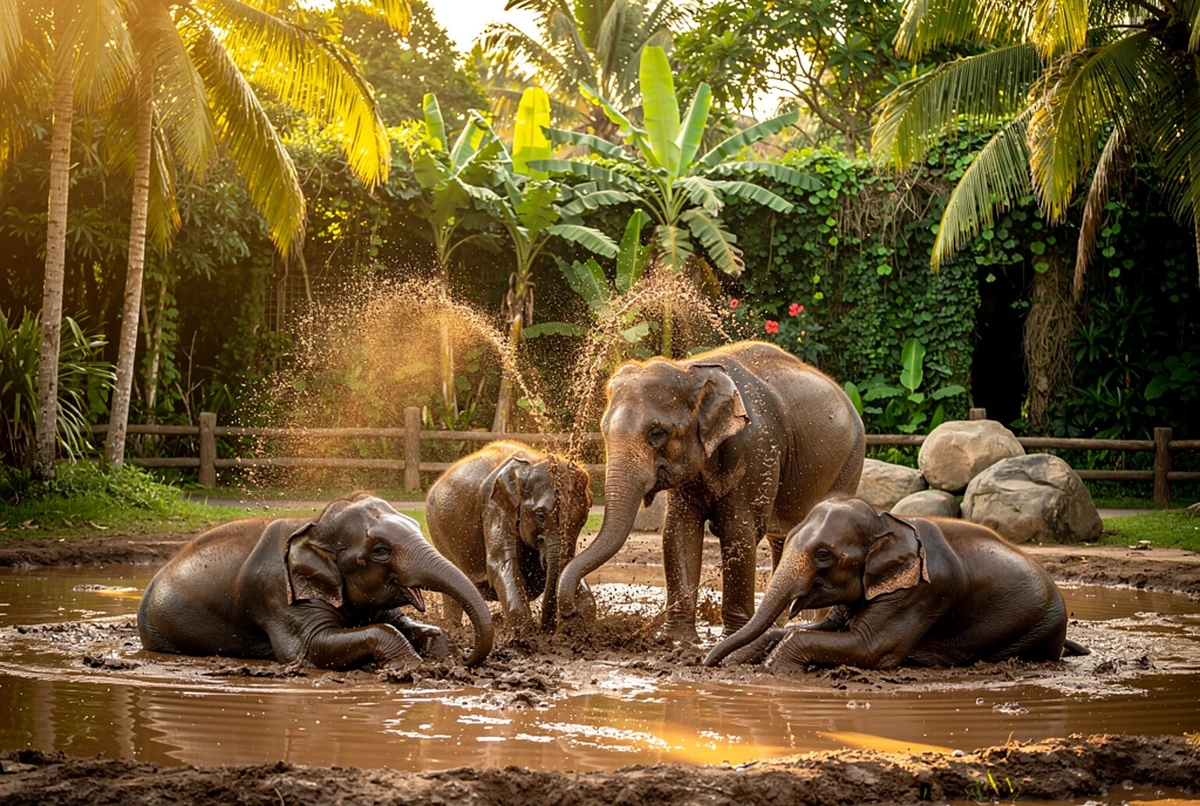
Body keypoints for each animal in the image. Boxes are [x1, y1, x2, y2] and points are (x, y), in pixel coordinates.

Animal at [137, 493, 493, 670]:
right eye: (380, 550)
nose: (467, 659)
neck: (314, 525)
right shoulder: (279, 597)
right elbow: (308, 650)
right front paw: (414, 667)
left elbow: (395, 621)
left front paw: (442, 654)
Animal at [427, 441, 593, 632]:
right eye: (540, 516)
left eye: (582, 520)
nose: (567, 614)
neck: (533, 462)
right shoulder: (495, 507)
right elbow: (502, 563)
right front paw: (525, 634)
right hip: (437, 530)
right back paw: (453, 629)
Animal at [556, 341, 865, 642]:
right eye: (604, 430)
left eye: (657, 433)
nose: (571, 613)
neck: (691, 370)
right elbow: (678, 531)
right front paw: (677, 641)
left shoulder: (756, 448)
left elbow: (738, 533)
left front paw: (729, 637)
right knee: (784, 539)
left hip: (850, 461)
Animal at [703, 497, 1087, 672]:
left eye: (824, 555)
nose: (706, 664)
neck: (884, 522)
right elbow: (818, 630)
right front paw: (739, 660)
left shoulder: (921, 592)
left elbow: (872, 648)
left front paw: (775, 671)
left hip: (1038, 628)